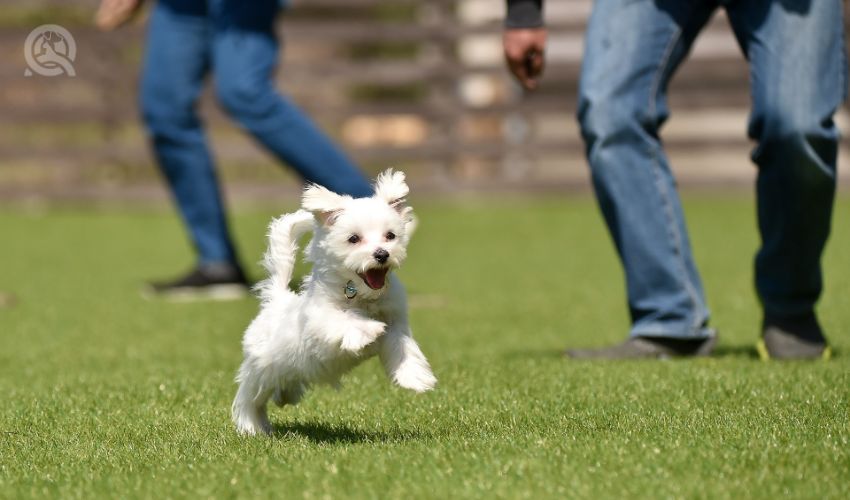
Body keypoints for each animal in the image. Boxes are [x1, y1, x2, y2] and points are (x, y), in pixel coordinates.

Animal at [230, 170, 434, 436]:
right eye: (353, 239)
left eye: (390, 236)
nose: (382, 254)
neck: (362, 294)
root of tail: (276, 300)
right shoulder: (320, 319)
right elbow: (345, 320)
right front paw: (369, 331)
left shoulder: (397, 320)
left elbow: (403, 346)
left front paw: (415, 376)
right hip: (262, 367)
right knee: (250, 397)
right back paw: (251, 426)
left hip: (288, 369)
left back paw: (283, 398)